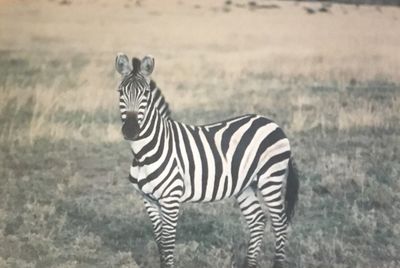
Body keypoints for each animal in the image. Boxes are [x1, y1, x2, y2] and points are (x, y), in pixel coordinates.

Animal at [114, 53, 298, 266]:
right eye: (120, 92)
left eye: (145, 93)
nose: (131, 130)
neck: (146, 153)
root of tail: (273, 124)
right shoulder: (148, 200)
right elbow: (160, 242)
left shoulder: (170, 199)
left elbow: (167, 244)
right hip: (246, 185)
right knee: (258, 220)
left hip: (270, 179)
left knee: (280, 223)